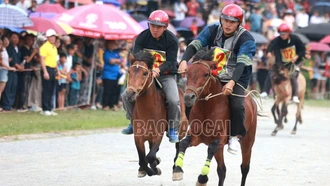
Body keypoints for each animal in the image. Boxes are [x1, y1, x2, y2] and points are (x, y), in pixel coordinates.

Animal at [171, 48, 260, 185]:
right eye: (187, 73)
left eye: (206, 74)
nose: (188, 97)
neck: (207, 109)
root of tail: (251, 100)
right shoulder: (196, 136)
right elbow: (183, 143)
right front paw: (177, 170)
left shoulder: (220, 139)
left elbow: (211, 148)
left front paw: (202, 178)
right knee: (222, 170)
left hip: (248, 140)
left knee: (244, 167)